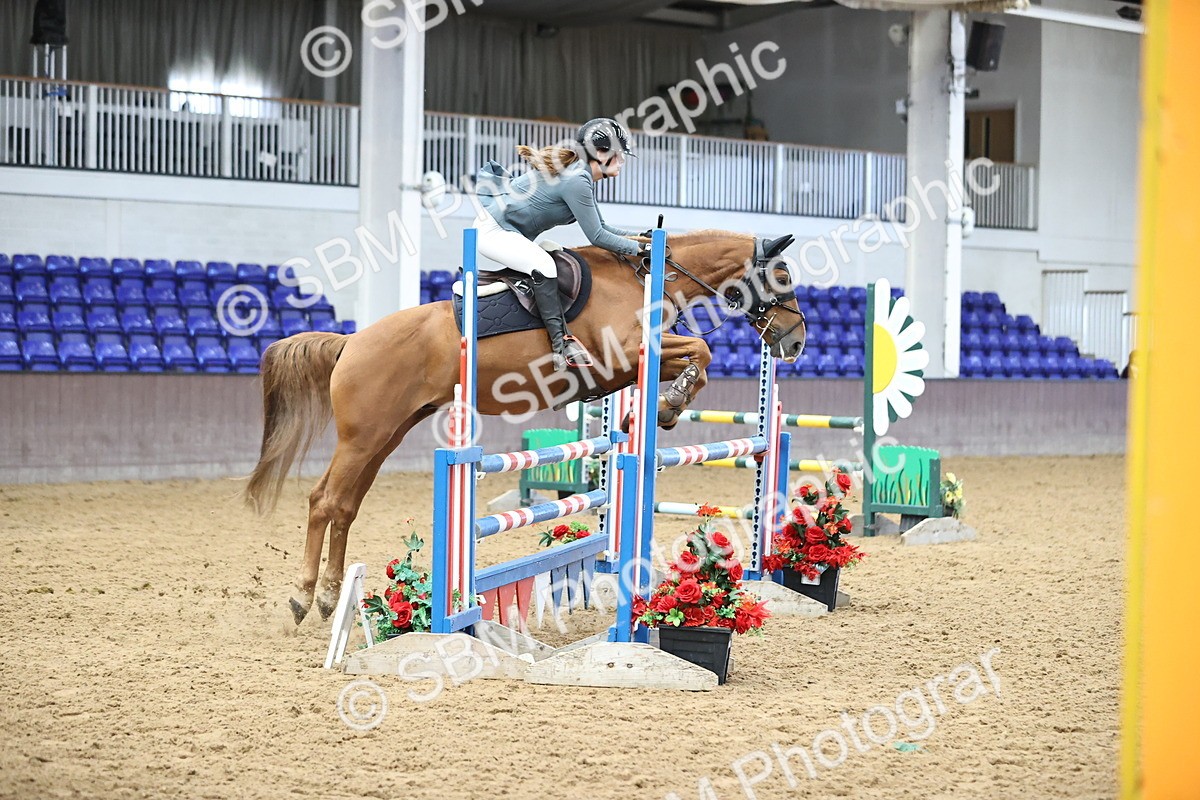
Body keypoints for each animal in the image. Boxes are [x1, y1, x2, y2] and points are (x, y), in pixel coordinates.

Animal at [242, 229, 806, 624]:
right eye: (783, 279)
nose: (796, 341)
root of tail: (350, 342)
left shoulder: (628, 367)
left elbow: (696, 360)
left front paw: (656, 409)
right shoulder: (625, 355)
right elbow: (702, 351)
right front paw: (667, 405)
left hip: (386, 435)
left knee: (344, 506)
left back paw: (328, 598)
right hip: (363, 438)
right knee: (324, 501)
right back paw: (304, 597)